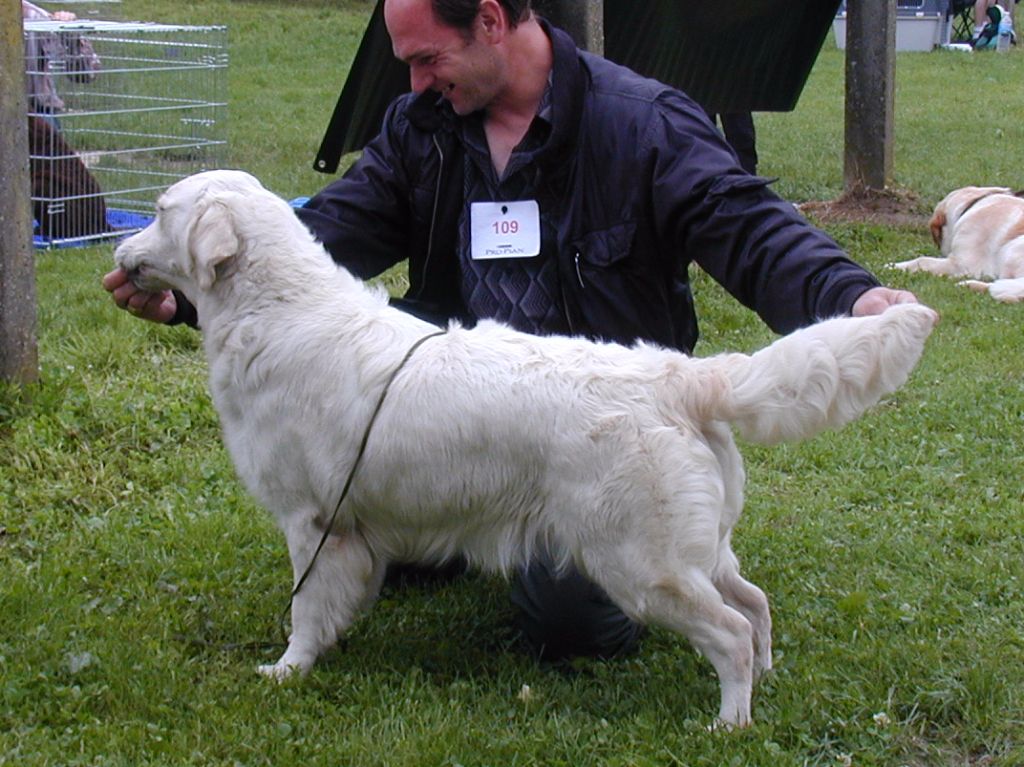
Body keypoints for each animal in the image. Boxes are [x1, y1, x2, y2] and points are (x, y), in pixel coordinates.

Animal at [112, 171, 937, 729]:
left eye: (159, 211)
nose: (117, 251)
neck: (277, 309)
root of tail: (680, 374)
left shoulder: (316, 523)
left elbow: (307, 610)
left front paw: (289, 669)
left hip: (640, 565)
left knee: (730, 630)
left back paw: (730, 721)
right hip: (698, 547)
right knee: (755, 603)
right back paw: (764, 679)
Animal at [888, 185, 1024, 303]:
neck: (972, 203)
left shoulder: (963, 264)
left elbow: (923, 260)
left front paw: (894, 266)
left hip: (1010, 250)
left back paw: (966, 284)